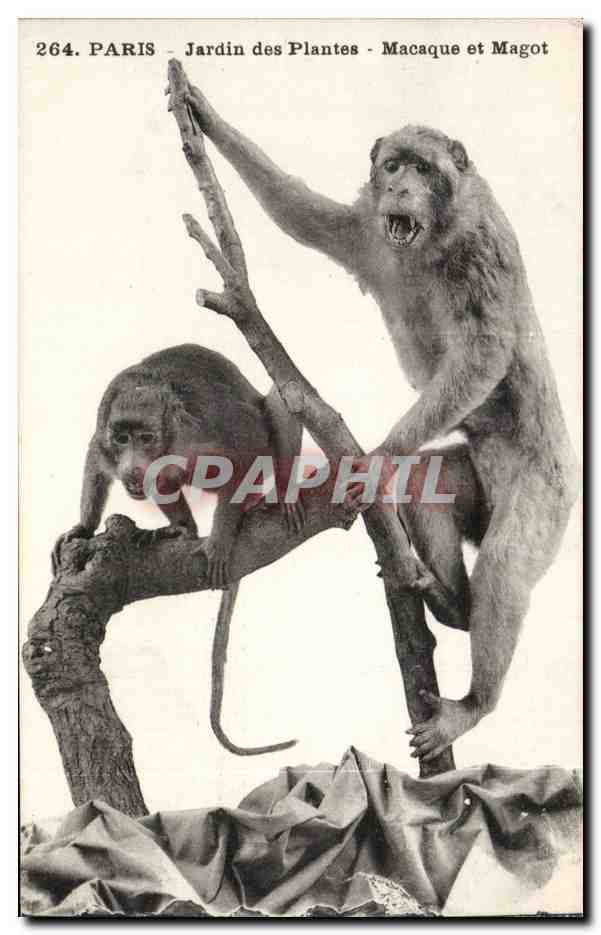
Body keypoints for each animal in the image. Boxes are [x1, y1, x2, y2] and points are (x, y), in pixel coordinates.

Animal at [52, 343, 303, 756]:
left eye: (145, 438)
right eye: (122, 439)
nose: (133, 468)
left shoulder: (203, 428)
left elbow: (248, 447)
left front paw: (220, 540)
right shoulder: (105, 430)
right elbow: (95, 456)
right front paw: (84, 528)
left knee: (281, 401)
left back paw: (278, 496)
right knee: (165, 479)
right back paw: (182, 529)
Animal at [185, 85, 580, 760]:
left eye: (422, 167)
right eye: (392, 165)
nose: (398, 185)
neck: (431, 239)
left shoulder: (481, 249)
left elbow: (483, 354)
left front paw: (378, 458)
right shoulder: (369, 231)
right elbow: (308, 217)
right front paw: (202, 113)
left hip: (547, 491)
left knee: (504, 565)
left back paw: (474, 703)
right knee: (431, 485)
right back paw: (451, 604)